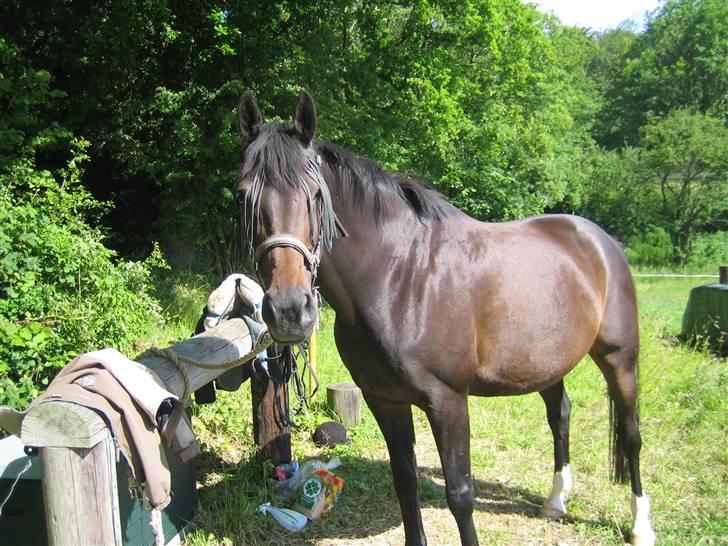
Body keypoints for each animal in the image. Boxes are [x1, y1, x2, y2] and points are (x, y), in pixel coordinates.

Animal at [236, 90, 656, 544]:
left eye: (315, 194)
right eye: (242, 197)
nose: (289, 311)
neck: (399, 277)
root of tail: (599, 240)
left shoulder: (449, 402)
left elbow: (460, 494)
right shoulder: (385, 401)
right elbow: (405, 483)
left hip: (619, 359)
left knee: (631, 435)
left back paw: (641, 525)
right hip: (546, 364)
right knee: (560, 415)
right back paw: (556, 501)